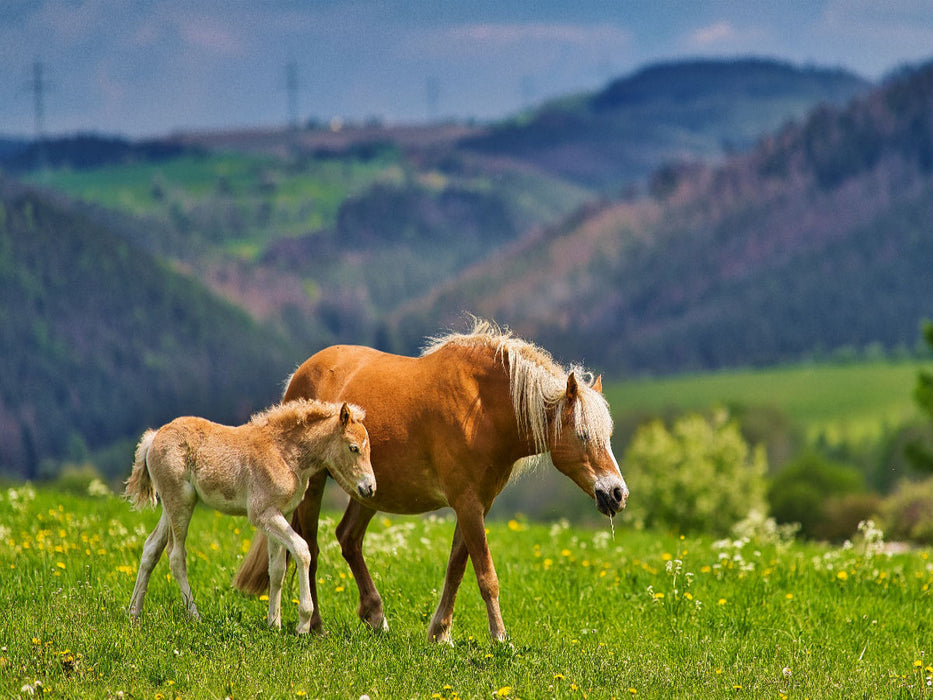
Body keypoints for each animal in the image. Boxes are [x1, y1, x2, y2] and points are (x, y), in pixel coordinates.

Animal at [125, 400, 374, 636]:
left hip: (171, 505)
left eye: (369, 448)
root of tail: (154, 437)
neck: (284, 453)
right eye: (353, 448)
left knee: (151, 548)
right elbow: (302, 550)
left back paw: (133, 614)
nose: (370, 488)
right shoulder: (262, 513)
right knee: (176, 556)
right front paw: (303, 623)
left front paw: (274, 624)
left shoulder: (281, 513)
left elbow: (277, 570)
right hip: (180, 502)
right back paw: (195, 617)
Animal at [232, 320, 628, 644]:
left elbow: (456, 569)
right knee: (310, 546)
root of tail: (300, 375)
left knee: (348, 539)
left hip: (368, 492)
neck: (483, 406)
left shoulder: (476, 505)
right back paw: (315, 626)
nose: (617, 493)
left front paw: (440, 634)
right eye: (582, 435)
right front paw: (501, 639)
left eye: (608, 434)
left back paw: (375, 616)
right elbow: (486, 575)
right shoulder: (467, 503)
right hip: (315, 485)